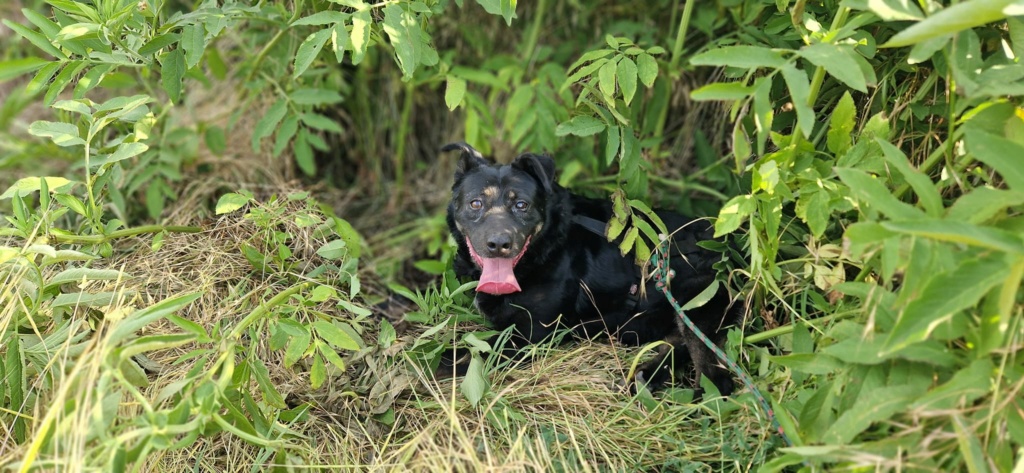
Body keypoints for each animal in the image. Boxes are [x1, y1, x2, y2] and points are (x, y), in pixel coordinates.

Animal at [444, 142, 741, 393]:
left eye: (521, 205)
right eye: (475, 203)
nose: (499, 244)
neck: (546, 247)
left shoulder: (528, 336)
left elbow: (455, 357)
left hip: (697, 302)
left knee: (717, 378)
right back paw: (644, 377)